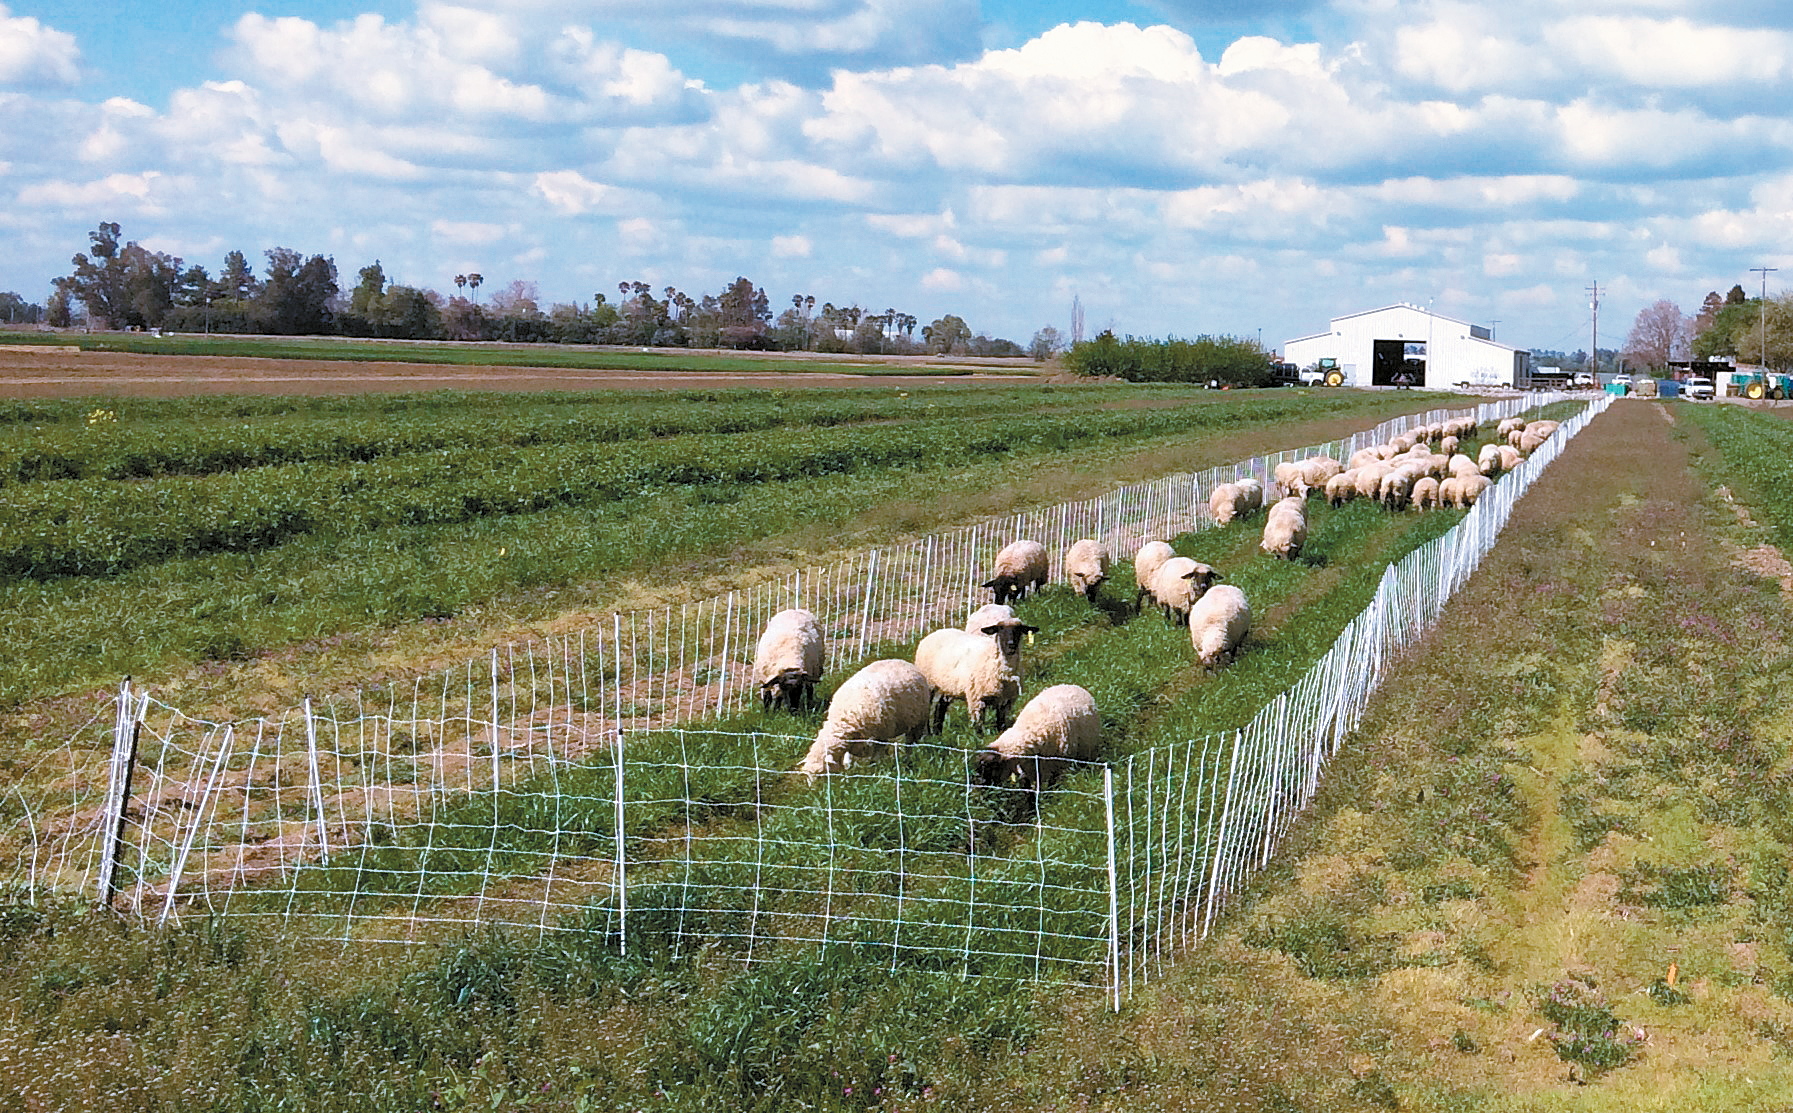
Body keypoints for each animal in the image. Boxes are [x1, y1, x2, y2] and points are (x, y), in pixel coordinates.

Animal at [803, 659, 932, 781]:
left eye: (821, 775)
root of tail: (904, 662)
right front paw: (848, 767)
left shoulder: (881, 734)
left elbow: (877, 754)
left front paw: (877, 768)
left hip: (918, 722)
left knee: (910, 744)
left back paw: (907, 761)